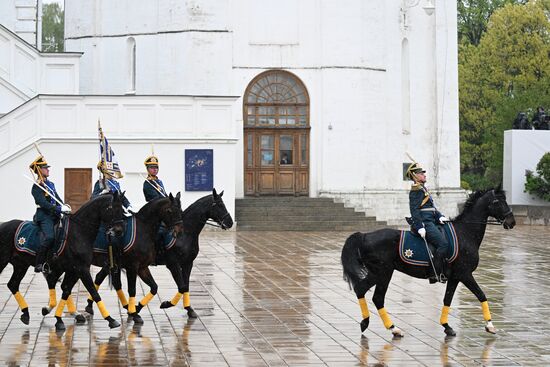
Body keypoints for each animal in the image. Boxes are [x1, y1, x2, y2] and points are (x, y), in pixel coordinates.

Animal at [0, 194, 126, 330]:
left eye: (121, 209)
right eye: (111, 208)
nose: (119, 231)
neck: (79, 232)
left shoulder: (73, 270)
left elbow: (66, 290)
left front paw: (58, 319)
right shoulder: (82, 269)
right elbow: (93, 292)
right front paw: (110, 319)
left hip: (21, 265)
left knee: (13, 284)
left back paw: (26, 313)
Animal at [75, 194, 185, 324]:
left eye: (180, 210)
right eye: (169, 211)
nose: (179, 231)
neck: (144, 230)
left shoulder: (142, 267)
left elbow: (154, 287)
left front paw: (137, 308)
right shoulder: (132, 266)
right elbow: (132, 289)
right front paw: (134, 313)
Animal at [85, 190, 233, 320]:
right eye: (219, 205)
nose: (230, 222)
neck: (186, 234)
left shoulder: (187, 263)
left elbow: (185, 286)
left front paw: (189, 309)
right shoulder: (172, 264)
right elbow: (181, 286)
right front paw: (166, 304)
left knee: (104, 279)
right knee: (101, 278)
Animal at [342, 188, 520, 338]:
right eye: (498, 202)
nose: (511, 221)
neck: (465, 233)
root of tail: (364, 236)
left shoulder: (455, 277)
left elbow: (447, 300)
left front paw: (447, 326)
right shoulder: (465, 274)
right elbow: (481, 295)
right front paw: (490, 325)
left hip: (378, 273)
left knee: (362, 290)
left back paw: (368, 323)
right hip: (383, 273)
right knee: (377, 297)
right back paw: (393, 328)